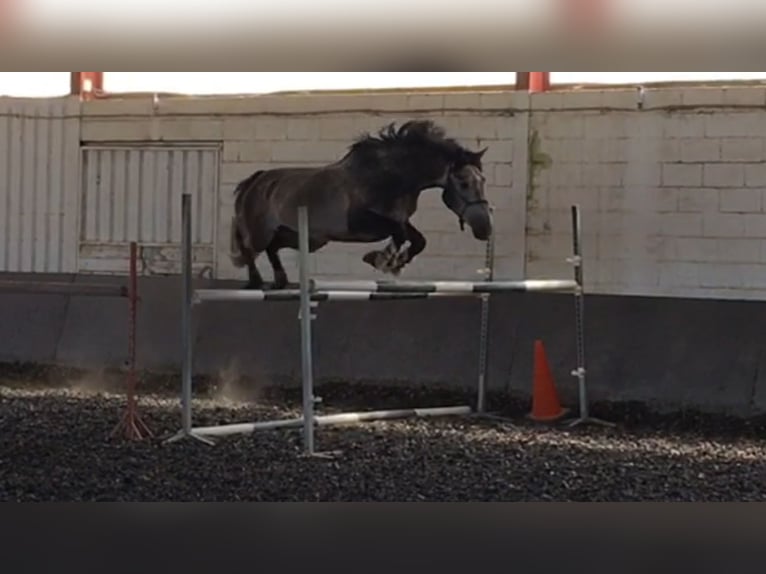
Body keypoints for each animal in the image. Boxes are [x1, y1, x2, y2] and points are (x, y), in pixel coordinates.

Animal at [228, 119, 492, 290]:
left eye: (483, 181)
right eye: (463, 182)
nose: (485, 229)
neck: (391, 177)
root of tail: (256, 180)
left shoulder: (400, 218)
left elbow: (417, 239)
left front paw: (393, 262)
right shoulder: (360, 222)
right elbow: (398, 233)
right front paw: (382, 260)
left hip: (306, 238)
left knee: (272, 248)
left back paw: (280, 280)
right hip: (262, 232)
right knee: (250, 248)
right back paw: (256, 281)